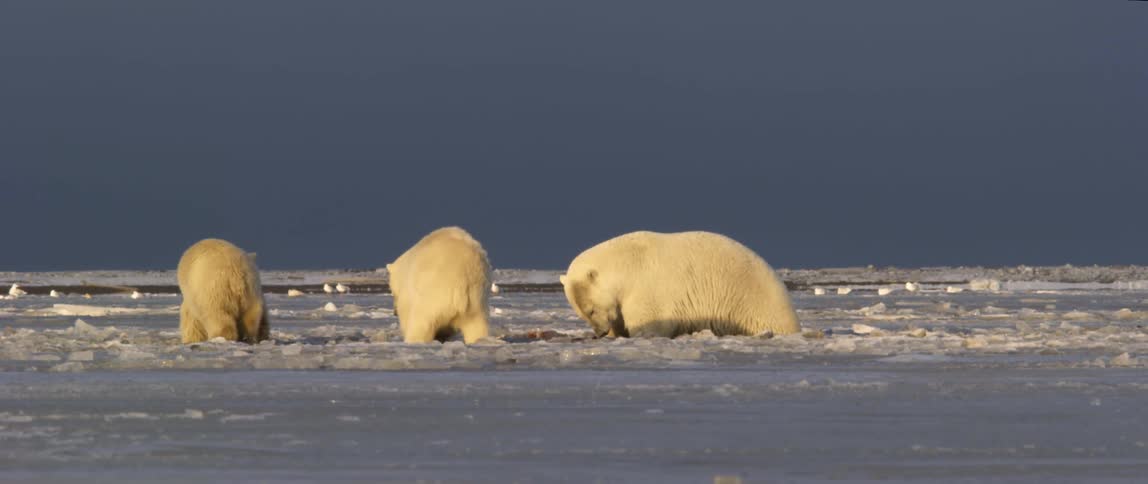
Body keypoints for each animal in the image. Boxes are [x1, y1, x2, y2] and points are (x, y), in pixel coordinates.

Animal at [560, 231, 799, 338]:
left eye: (591, 310)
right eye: (581, 314)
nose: (599, 333)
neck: (628, 263)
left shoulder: (647, 287)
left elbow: (650, 322)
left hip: (754, 307)